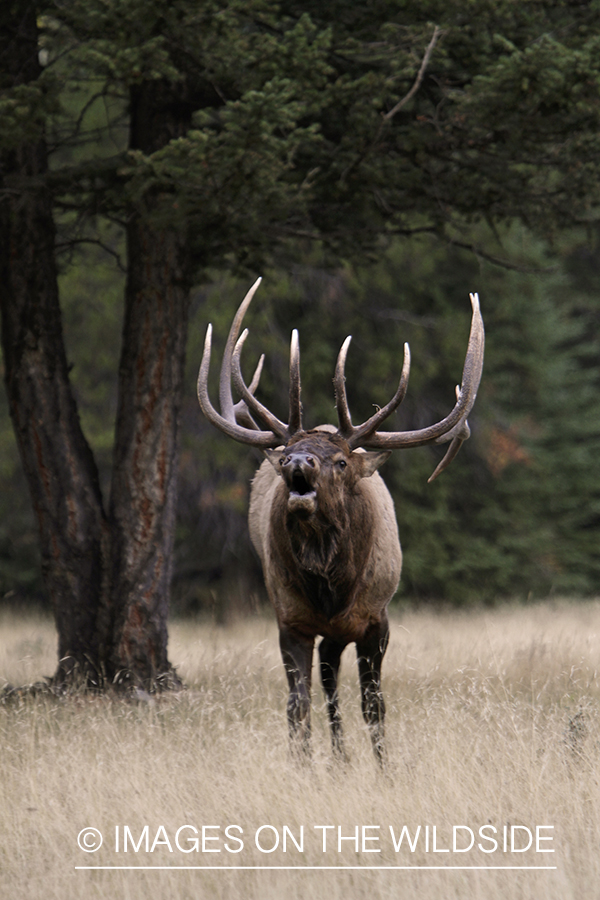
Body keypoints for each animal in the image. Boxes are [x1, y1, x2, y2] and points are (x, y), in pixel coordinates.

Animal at [197, 278, 482, 764]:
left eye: (341, 462)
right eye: (286, 458)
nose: (297, 461)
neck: (331, 586)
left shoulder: (377, 619)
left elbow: (374, 705)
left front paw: (384, 768)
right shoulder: (289, 619)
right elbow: (297, 705)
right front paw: (303, 766)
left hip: (348, 629)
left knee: (333, 679)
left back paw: (343, 757)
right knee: (327, 682)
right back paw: (338, 758)